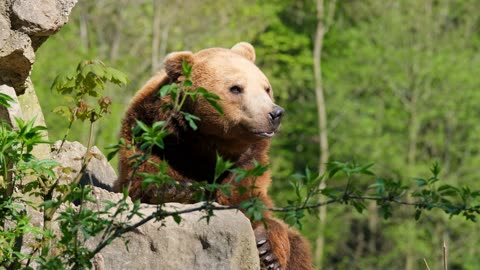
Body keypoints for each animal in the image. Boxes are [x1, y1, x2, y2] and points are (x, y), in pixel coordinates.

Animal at [115, 42, 314, 270]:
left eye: (266, 88)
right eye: (236, 88)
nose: (275, 113)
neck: (208, 146)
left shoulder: (247, 166)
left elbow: (256, 208)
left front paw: (267, 251)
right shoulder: (148, 134)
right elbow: (142, 175)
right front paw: (178, 189)